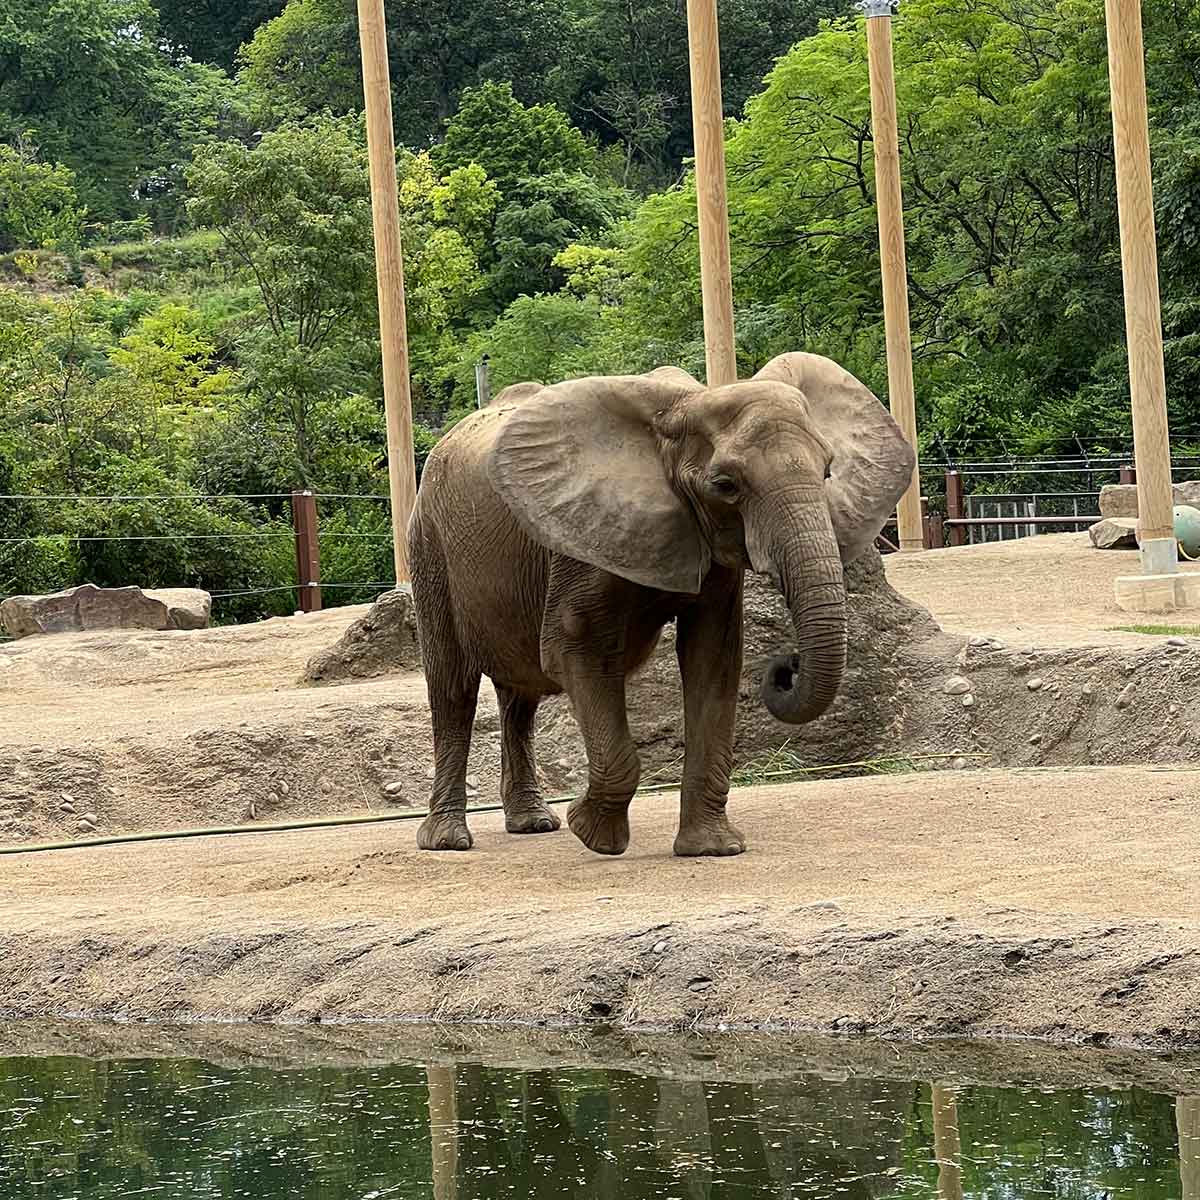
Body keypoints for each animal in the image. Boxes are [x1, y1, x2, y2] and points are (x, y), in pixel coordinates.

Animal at [407, 352, 915, 857]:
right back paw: (447, 840)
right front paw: (594, 833)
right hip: (430, 545)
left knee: (520, 696)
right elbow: (575, 649)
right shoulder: (580, 543)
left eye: (827, 471)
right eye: (726, 485)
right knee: (453, 687)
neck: (683, 410)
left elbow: (712, 658)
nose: (785, 667)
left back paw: (533, 823)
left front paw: (711, 849)